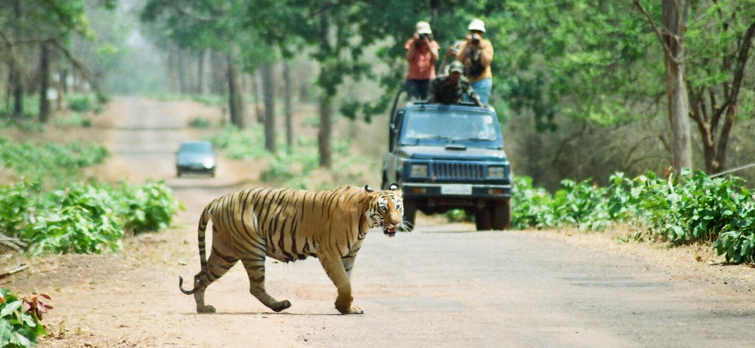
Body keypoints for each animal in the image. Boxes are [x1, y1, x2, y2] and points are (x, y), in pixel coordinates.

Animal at [178, 185, 404, 316]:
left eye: (398, 207)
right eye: (383, 208)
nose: (396, 222)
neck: (364, 219)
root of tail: (220, 199)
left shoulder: (348, 256)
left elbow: (347, 281)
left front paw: (346, 307)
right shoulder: (329, 252)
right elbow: (344, 282)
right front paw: (344, 307)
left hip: (225, 252)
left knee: (201, 276)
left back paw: (202, 308)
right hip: (252, 248)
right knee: (255, 287)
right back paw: (280, 305)